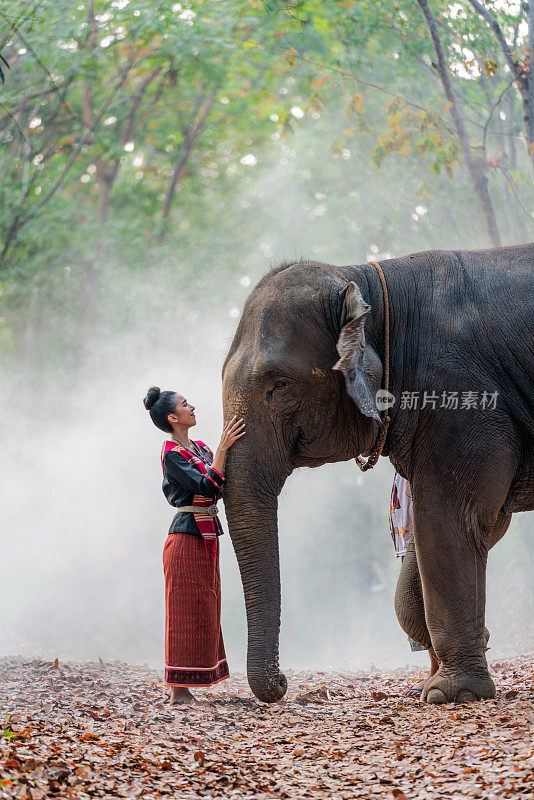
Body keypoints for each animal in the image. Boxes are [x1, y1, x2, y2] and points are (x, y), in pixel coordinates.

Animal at [223, 245, 534, 708]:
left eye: (279, 385)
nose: (281, 683)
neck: (371, 288)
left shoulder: (466, 405)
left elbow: (450, 521)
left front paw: (450, 694)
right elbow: (462, 528)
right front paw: (463, 657)